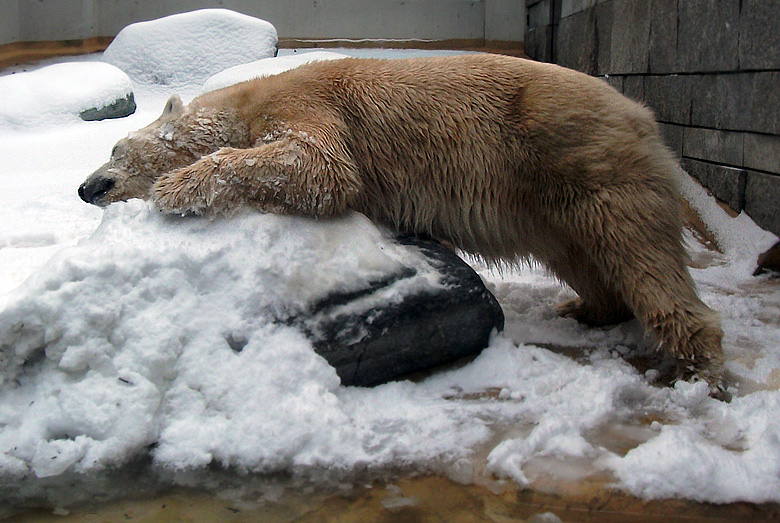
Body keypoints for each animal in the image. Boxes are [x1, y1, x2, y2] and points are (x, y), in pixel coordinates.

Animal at [79, 55, 724, 390]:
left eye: (114, 147)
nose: (86, 187)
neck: (246, 101)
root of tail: (643, 115)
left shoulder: (304, 103)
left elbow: (320, 164)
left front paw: (174, 189)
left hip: (586, 159)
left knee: (641, 256)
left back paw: (698, 363)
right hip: (555, 196)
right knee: (584, 257)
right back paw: (587, 308)